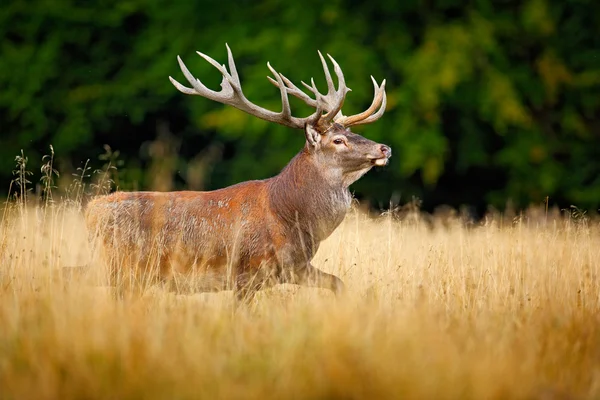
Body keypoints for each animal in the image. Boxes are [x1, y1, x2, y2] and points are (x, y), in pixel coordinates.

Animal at [84, 44, 390, 300]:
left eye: (351, 132)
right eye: (338, 140)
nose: (384, 148)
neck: (289, 216)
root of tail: (90, 211)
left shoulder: (294, 268)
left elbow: (339, 283)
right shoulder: (248, 273)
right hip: (121, 268)